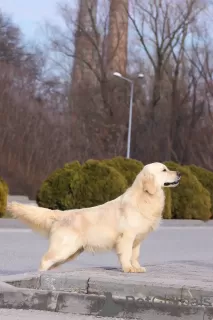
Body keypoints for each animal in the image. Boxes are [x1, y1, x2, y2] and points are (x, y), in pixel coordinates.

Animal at [7, 162, 180, 272]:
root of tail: (61, 213)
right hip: (64, 248)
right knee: (44, 260)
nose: (179, 173)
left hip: (70, 253)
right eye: (164, 170)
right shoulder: (127, 236)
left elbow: (135, 255)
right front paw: (128, 268)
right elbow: (126, 255)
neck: (144, 198)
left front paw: (136, 268)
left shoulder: (138, 239)